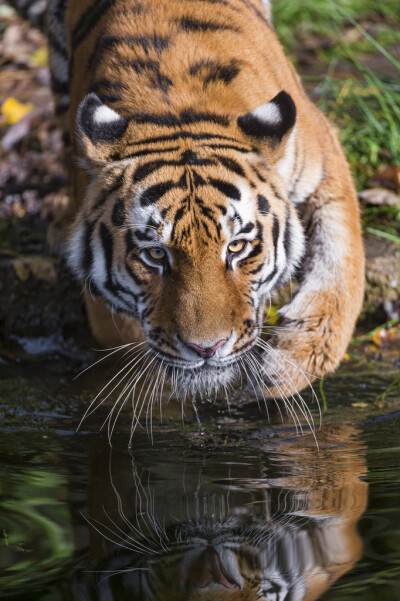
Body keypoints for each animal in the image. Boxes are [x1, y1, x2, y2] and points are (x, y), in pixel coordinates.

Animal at [15, 0, 364, 404]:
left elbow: (343, 264)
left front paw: (289, 363)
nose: (207, 349)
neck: (177, 111)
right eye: (155, 254)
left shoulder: (323, 160)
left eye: (237, 247)